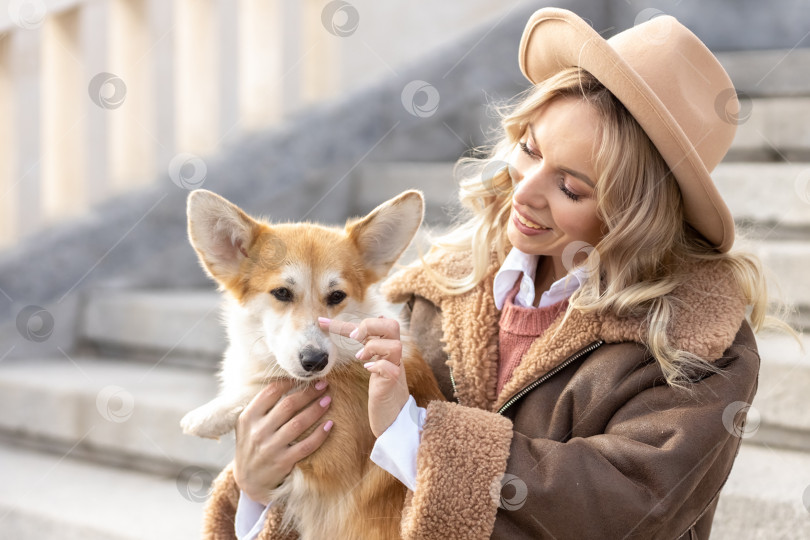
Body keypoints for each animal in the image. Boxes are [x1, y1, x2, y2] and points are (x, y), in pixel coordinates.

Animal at [181, 188, 446, 536]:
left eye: (336, 296)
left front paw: (207, 416)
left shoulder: (325, 461)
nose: (315, 360)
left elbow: (276, 387)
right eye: (281, 292)